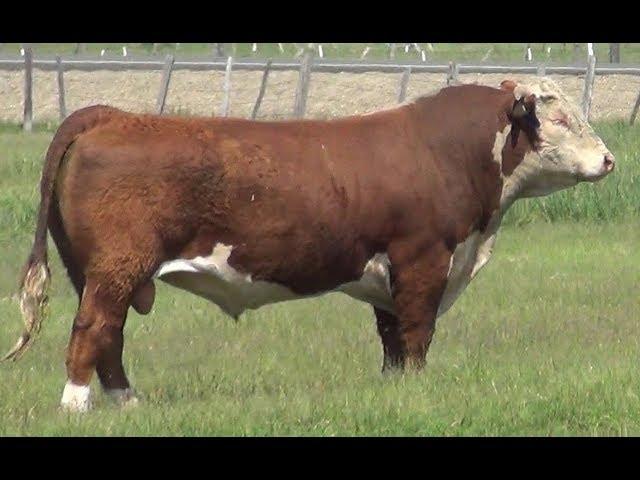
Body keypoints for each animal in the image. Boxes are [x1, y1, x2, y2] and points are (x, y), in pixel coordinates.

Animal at [3, 77, 616, 410]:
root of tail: (110, 115)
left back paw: (128, 403)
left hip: (96, 271)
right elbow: (417, 334)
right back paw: (76, 407)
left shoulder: (389, 275)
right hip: (116, 268)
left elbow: (392, 340)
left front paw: (394, 391)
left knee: (110, 338)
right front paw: (418, 389)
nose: (610, 159)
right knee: (92, 331)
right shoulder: (423, 260)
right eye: (560, 115)